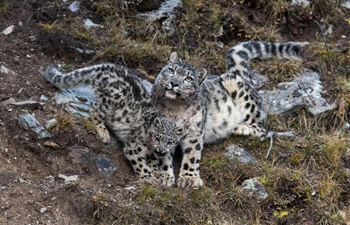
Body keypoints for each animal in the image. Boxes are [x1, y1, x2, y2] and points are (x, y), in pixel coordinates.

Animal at [44, 63, 185, 186]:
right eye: (157, 137)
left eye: (170, 142)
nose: (161, 150)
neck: (150, 148)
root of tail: (105, 66)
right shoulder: (133, 148)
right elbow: (141, 165)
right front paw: (148, 178)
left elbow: (154, 162)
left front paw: (156, 171)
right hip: (112, 99)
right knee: (95, 110)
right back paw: (104, 133)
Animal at [152, 40, 304, 188]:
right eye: (171, 70)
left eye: (188, 78)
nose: (174, 83)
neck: (175, 108)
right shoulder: (161, 128)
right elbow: (163, 155)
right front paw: (164, 176)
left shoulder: (194, 131)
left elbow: (192, 155)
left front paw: (189, 179)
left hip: (238, 89)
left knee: (261, 125)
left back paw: (242, 128)